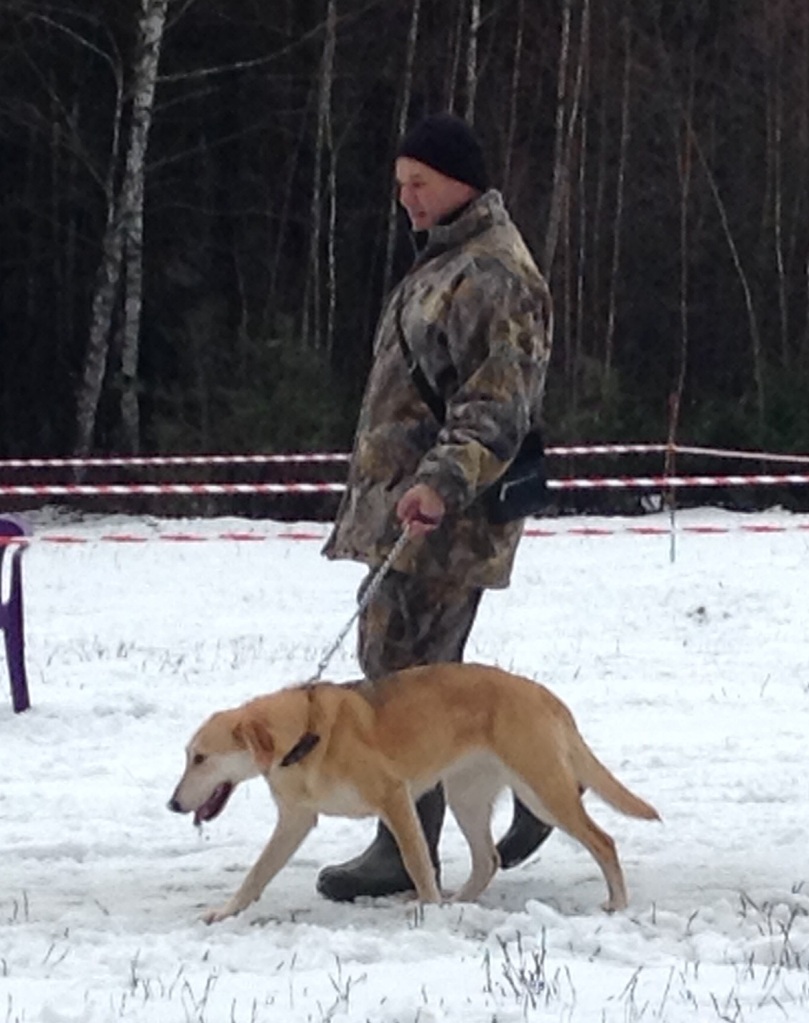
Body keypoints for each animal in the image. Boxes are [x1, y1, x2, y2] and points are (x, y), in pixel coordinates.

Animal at [169, 658, 658, 924]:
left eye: (201, 758)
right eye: (188, 755)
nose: (173, 804)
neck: (304, 737)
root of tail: (544, 695)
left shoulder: (394, 797)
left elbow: (418, 861)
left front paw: (427, 908)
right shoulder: (295, 820)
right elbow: (257, 874)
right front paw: (227, 912)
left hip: (543, 789)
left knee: (603, 841)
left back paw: (617, 902)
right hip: (467, 796)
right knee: (488, 859)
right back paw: (460, 901)